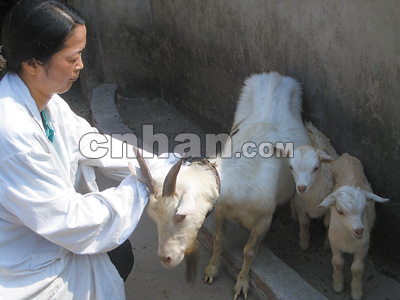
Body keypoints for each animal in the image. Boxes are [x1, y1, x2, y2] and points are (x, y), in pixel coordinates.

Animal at [318, 154, 390, 298]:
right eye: (339, 211)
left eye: (364, 209)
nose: (359, 230)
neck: (348, 239)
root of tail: (346, 155)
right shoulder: (337, 245)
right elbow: (338, 263)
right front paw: (338, 286)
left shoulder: (362, 248)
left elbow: (356, 269)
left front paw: (356, 292)